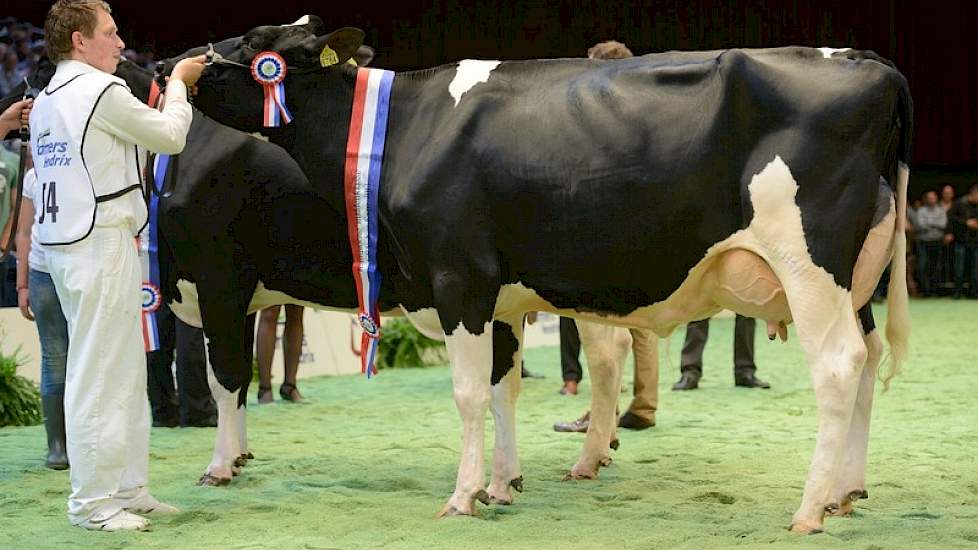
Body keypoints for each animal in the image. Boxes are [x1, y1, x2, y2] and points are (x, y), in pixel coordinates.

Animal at [164, 22, 912, 536]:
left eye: (256, 45)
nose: (180, 63)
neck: (406, 127)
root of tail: (862, 60)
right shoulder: (500, 296)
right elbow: (504, 389)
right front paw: (500, 486)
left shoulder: (457, 278)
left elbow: (467, 393)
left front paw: (462, 496)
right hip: (859, 278)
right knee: (869, 360)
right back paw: (847, 492)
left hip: (810, 262)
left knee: (839, 366)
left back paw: (809, 509)